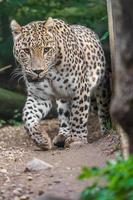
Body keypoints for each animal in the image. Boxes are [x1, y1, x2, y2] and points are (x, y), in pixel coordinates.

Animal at [10, 17, 111, 150]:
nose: (38, 71)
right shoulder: (39, 96)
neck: (51, 74)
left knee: (103, 108)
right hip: (63, 98)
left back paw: (106, 129)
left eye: (46, 49)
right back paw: (62, 136)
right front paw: (40, 139)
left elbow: (78, 115)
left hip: (101, 86)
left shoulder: (80, 89)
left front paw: (77, 139)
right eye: (26, 51)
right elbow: (28, 116)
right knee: (65, 114)